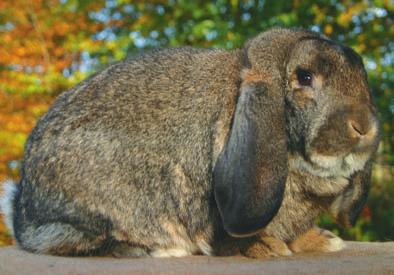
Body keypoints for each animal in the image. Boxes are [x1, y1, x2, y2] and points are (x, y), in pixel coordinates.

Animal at [0, 28, 382, 258]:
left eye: (361, 76)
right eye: (304, 77)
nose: (364, 127)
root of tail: (22, 211)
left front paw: (322, 241)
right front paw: (266, 248)